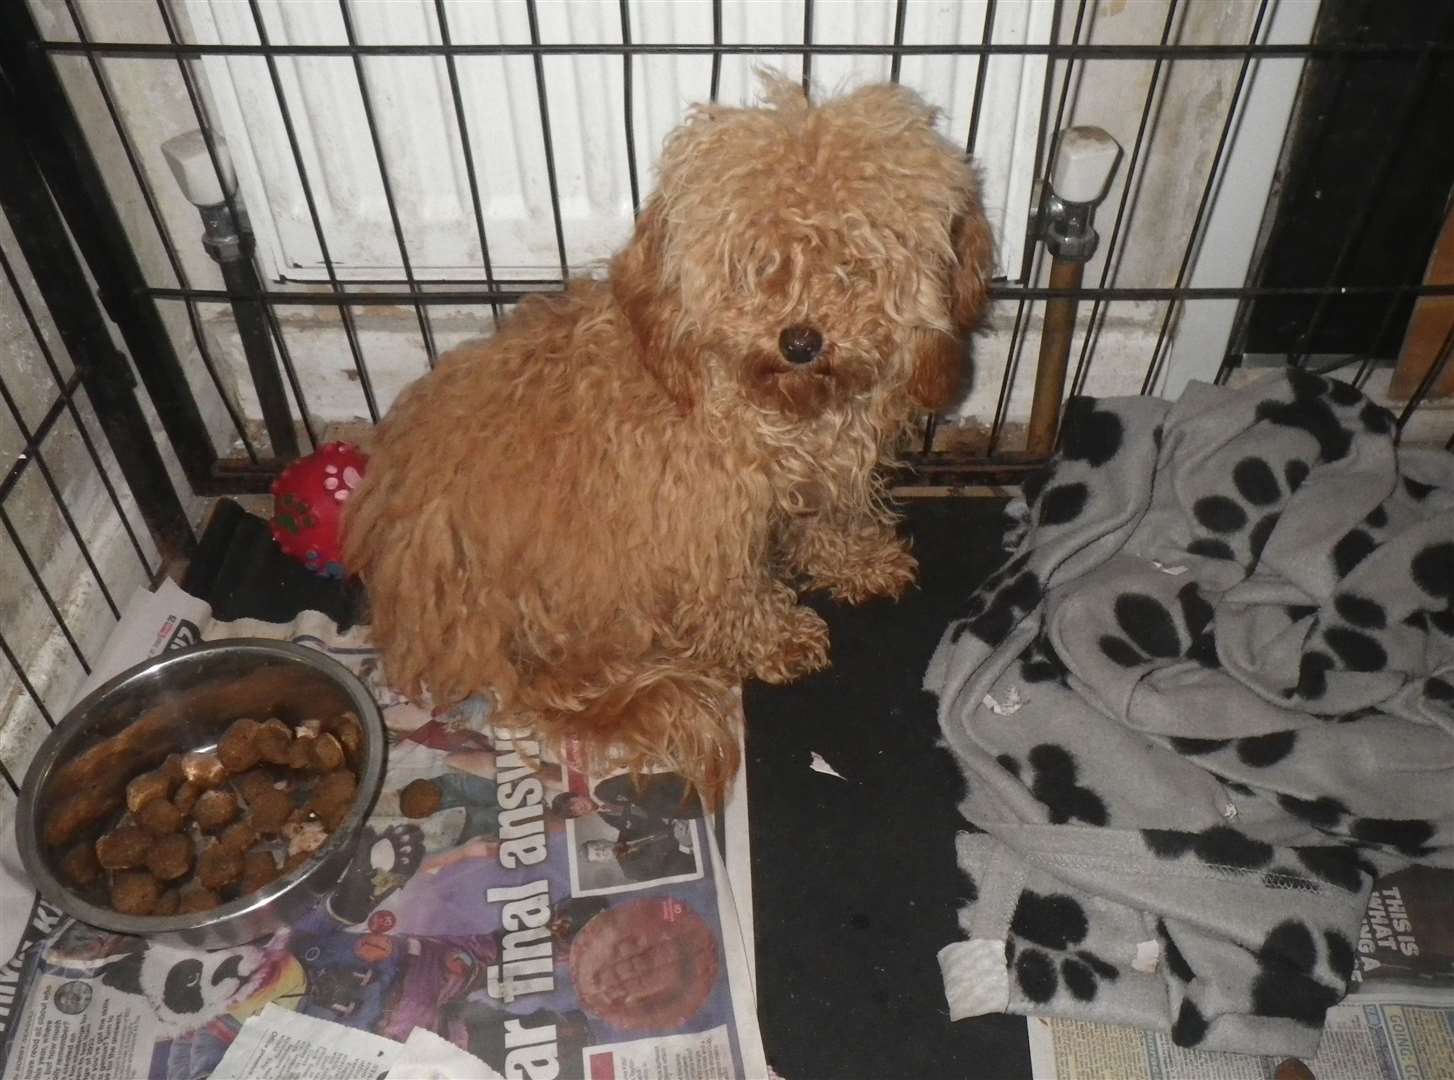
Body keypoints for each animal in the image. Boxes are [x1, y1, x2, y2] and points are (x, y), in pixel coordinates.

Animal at [346, 75, 994, 802]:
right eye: (757, 265)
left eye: (853, 262)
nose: (800, 341)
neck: (774, 409)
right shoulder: (706, 526)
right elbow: (732, 596)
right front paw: (773, 638)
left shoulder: (825, 477)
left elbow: (833, 517)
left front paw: (858, 560)